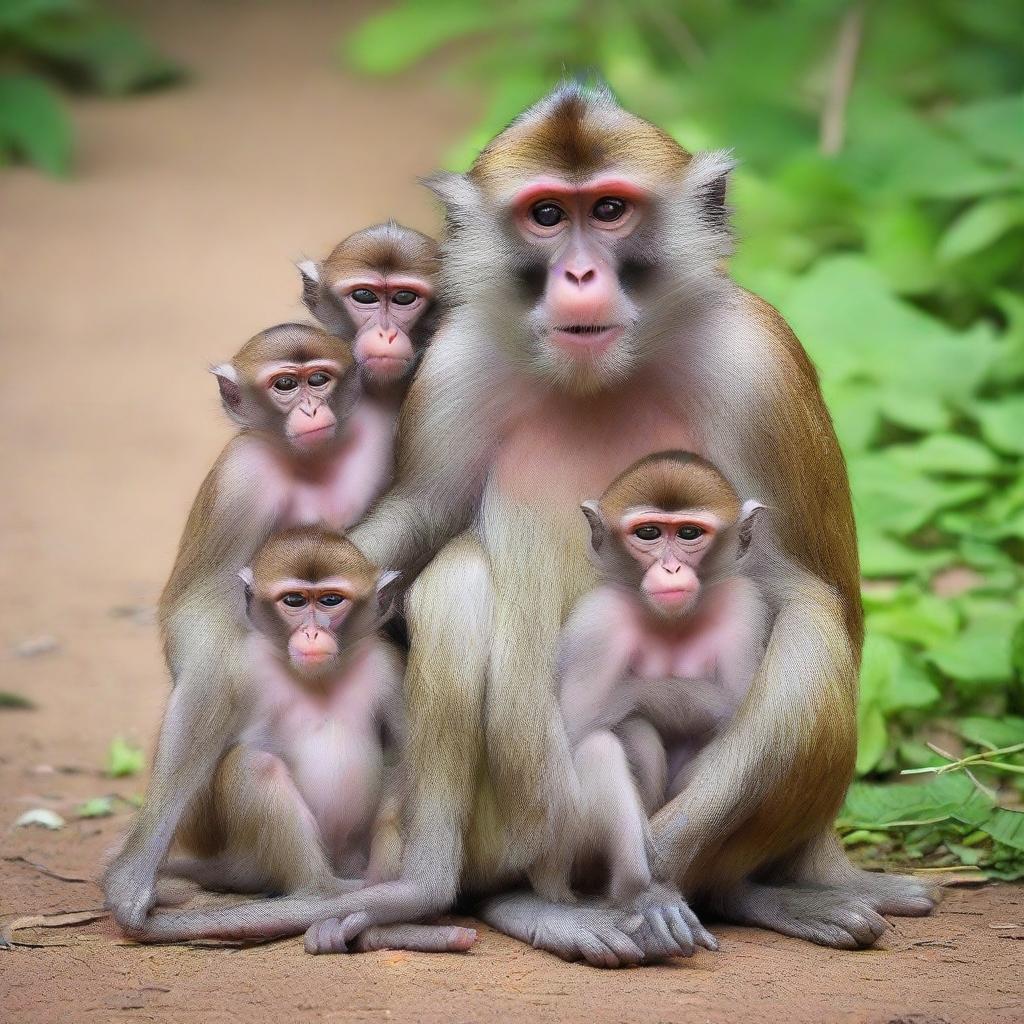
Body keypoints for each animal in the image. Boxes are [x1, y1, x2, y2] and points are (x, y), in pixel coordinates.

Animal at [157, 524, 477, 954]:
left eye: (330, 600)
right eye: (294, 600)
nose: (312, 633)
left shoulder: (386, 667)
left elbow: (405, 756)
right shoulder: (238, 670)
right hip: (257, 858)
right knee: (254, 765)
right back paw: (323, 895)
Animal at [532, 452, 765, 917]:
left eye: (689, 533)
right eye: (649, 533)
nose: (670, 568)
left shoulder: (742, 605)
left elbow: (738, 710)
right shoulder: (599, 620)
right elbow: (577, 727)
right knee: (608, 741)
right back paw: (636, 891)